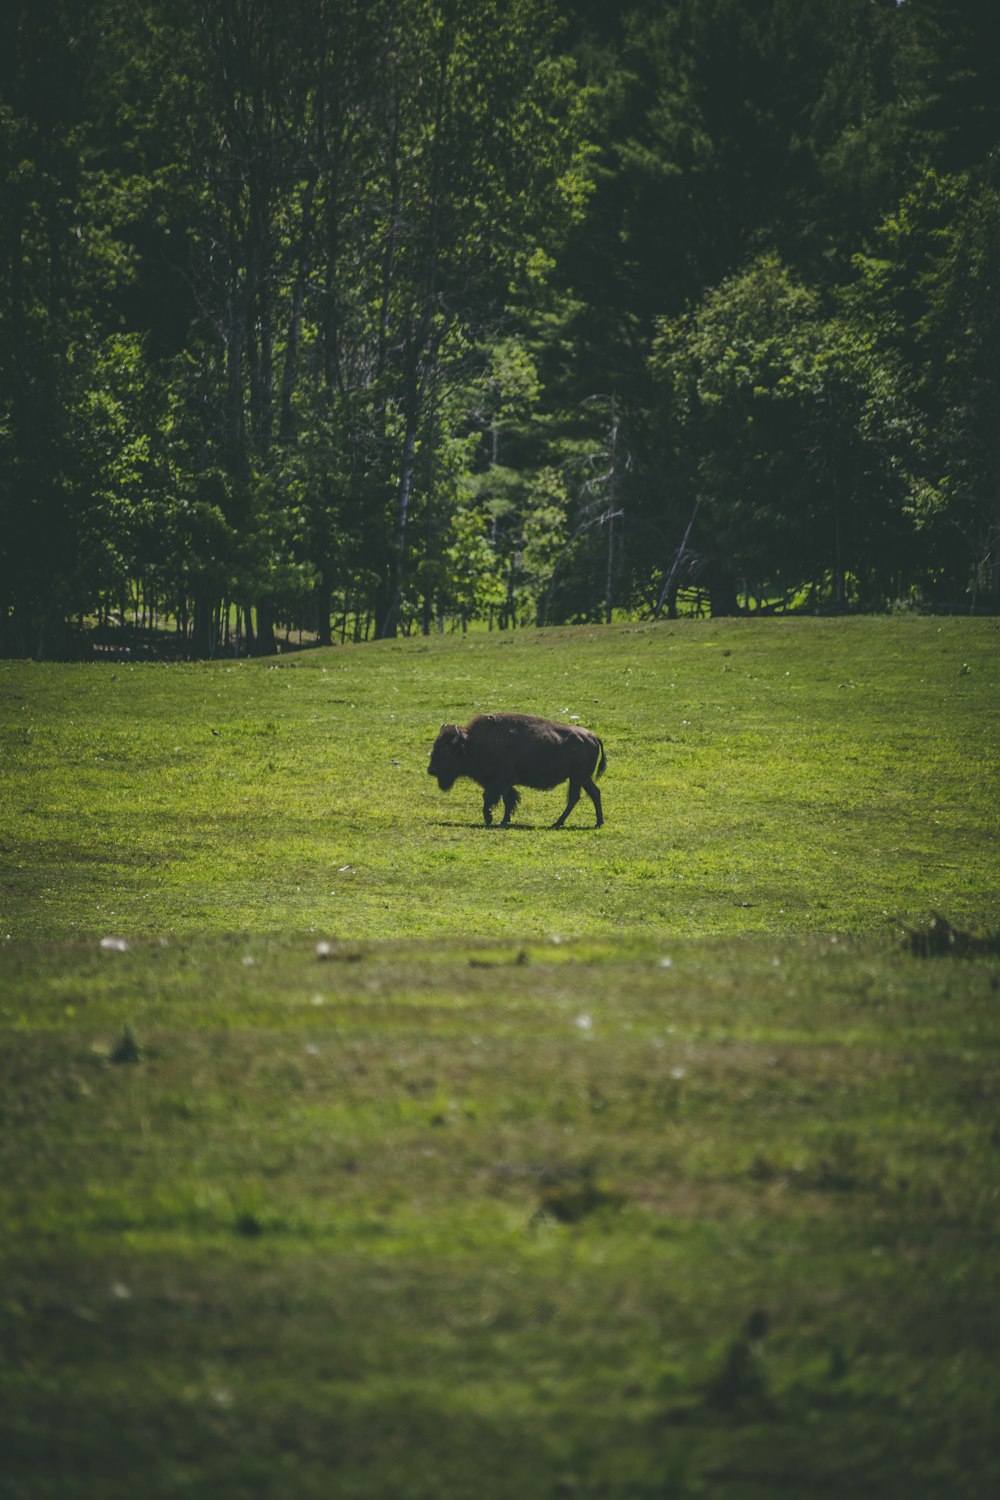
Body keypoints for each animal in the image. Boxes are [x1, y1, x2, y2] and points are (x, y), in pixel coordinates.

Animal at [425, 708, 605, 828]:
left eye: (446, 750)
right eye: (434, 746)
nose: (431, 770)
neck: (472, 744)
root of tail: (592, 736)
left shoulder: (499, 781)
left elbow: (489, 797)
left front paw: (489, 818)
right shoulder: (505, 783)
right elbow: (508, 799)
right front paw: (503, 820)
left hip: (577, 778)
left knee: (574, 797)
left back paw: (557, 823)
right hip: (583, 778)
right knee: (594, 793)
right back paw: (598, 822)